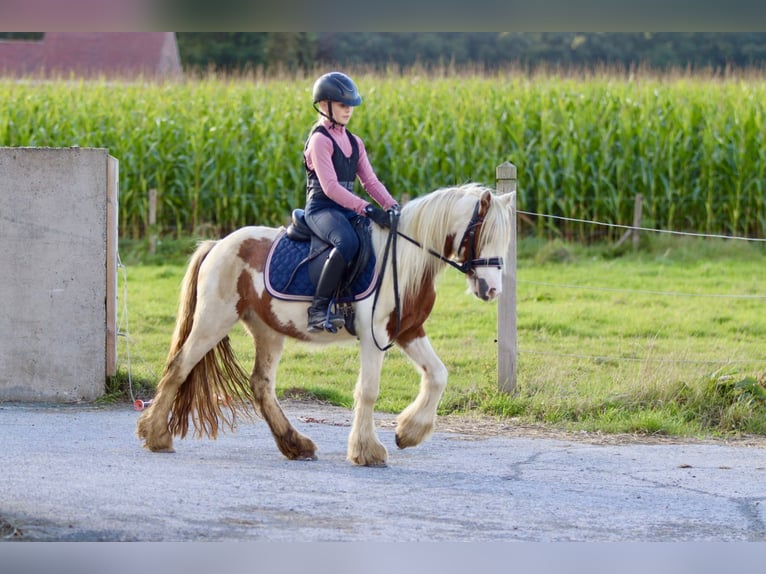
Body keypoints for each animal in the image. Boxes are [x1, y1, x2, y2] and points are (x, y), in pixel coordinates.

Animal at [138, 184, 516, 468]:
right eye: (482, 233)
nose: (492, 290)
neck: (404, 260)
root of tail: (219, 245)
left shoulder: (408, 332)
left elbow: (438, 375)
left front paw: (409, 432)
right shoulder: (374, 337)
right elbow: (368, 390)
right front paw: (367, 451)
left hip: (268, 330)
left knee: (261, 384)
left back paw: (296, 445)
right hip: (214, 319)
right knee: (178, 367)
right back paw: (156, 436)